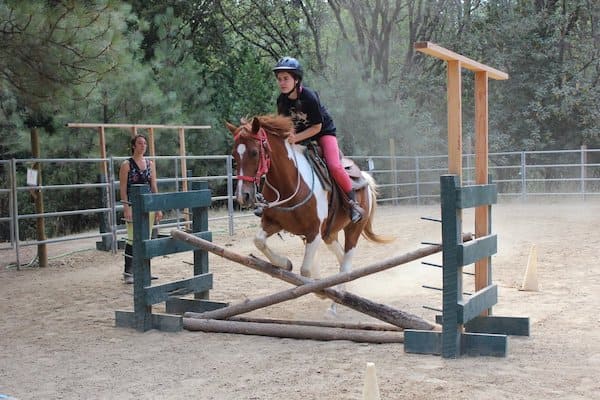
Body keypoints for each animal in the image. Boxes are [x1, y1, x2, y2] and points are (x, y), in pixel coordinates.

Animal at [227, 112, 392, 282]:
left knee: (345, 266)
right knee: (341, 259)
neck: (290, 183)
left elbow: (305, 271)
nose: (243, 196)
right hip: (329, 234)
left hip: (353, 229)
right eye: (234, 155)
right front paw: (285, 263)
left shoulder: (314, 232)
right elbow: (258, 241)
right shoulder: (272, 222)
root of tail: (364, 178)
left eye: (254, 152)